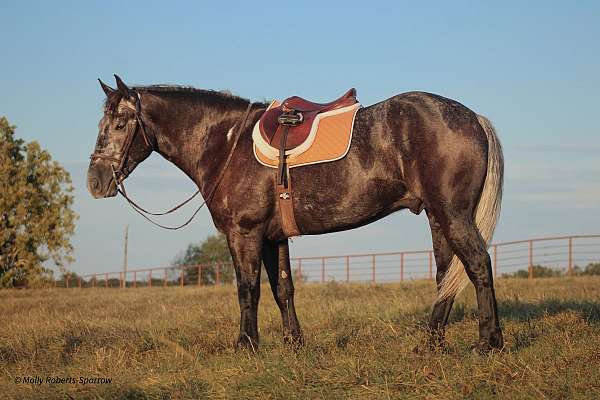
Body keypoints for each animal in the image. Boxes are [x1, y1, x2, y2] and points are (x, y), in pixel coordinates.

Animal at [88, 75, 502, 350]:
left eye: (120, 124)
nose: (96, 181)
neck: (226, 144)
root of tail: (474, 118)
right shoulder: (274, 237)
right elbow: (282, 287)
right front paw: (293, 344)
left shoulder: (245, 233)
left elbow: (247, 288)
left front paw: (246, 345)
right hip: (437, 217)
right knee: (446, 275)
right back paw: (430, 345)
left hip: (452, 214)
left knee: (478, 264)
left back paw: (489, 342)